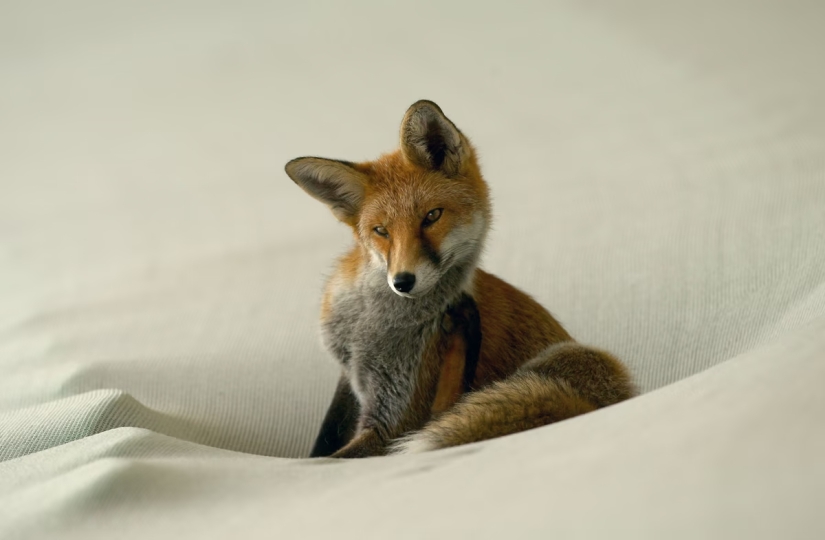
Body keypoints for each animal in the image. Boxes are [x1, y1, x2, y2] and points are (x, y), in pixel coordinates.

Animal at [285, 100, 635, 458]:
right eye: (381, 231)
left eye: (431, 216)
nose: (402, 282)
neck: (369, 324)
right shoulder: (348, 375)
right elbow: (322, 445)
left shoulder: (393, 420)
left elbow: (335, 460)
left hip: (569, 358)